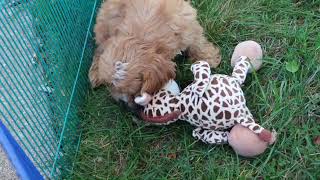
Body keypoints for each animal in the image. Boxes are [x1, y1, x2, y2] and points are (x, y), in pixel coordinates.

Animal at [89, 0, 221, 106]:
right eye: (109, 85)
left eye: (133, 91)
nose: (121, 103)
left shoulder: (187, 23)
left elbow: (197, 42)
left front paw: (209, 58)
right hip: (103, 23)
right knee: (99, 47)